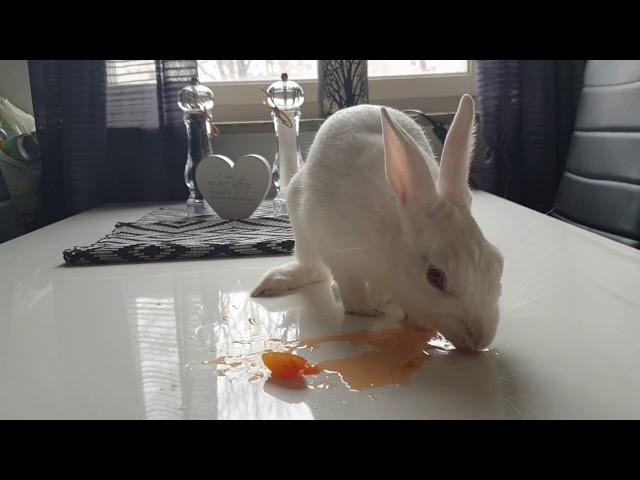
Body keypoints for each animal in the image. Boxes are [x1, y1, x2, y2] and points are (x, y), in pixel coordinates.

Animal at [252, 94, 502, 348]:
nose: (479, 340)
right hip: (301, 224)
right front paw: (364, 310)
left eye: (497, 263)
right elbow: (349, 285)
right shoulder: (335, 251)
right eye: (435, 277)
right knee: (312, 268)